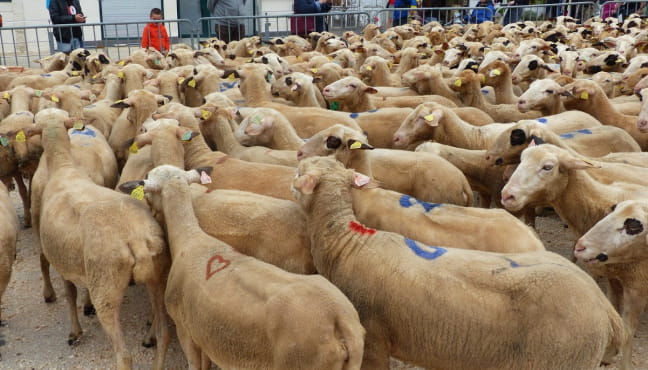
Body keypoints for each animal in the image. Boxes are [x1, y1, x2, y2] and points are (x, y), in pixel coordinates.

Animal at [34, 109, 170, 370]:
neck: (64, 168)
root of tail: (136, 239)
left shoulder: (63, 264)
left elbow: (70, 295)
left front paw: (75, 332)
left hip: (106, 286)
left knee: (124, 355)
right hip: (157, 276)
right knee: (162, 335)